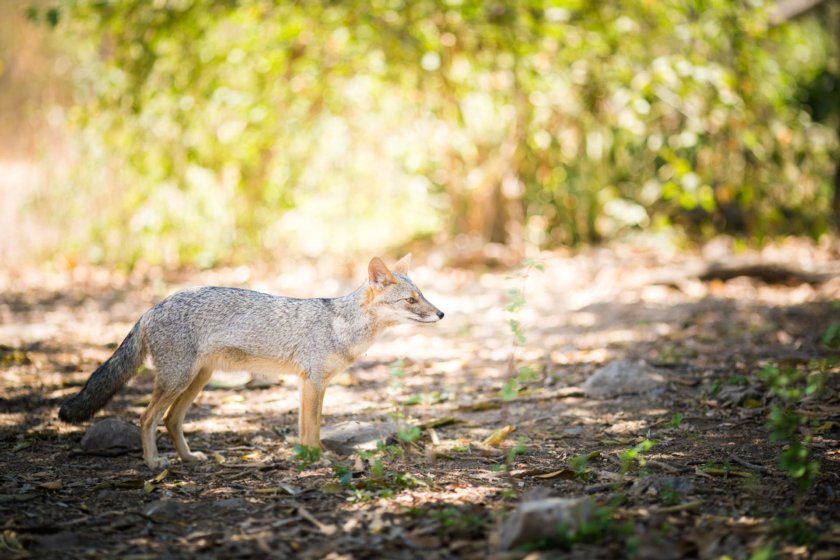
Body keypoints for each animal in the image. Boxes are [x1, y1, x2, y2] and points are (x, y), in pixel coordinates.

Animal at [57, 258, 446, 468]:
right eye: (411, 300)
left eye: (423, 296)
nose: (441, 314)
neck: (341, 325)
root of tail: (152, 307)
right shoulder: (314, 382)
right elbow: (313, 430)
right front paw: (316, 460)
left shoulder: (307, 383)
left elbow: (305, 429)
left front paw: (305, 458)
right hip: (178, 381)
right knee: (147, 418)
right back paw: (153, 462)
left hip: (197, 381)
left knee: (170, 420)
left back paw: (189, 458)